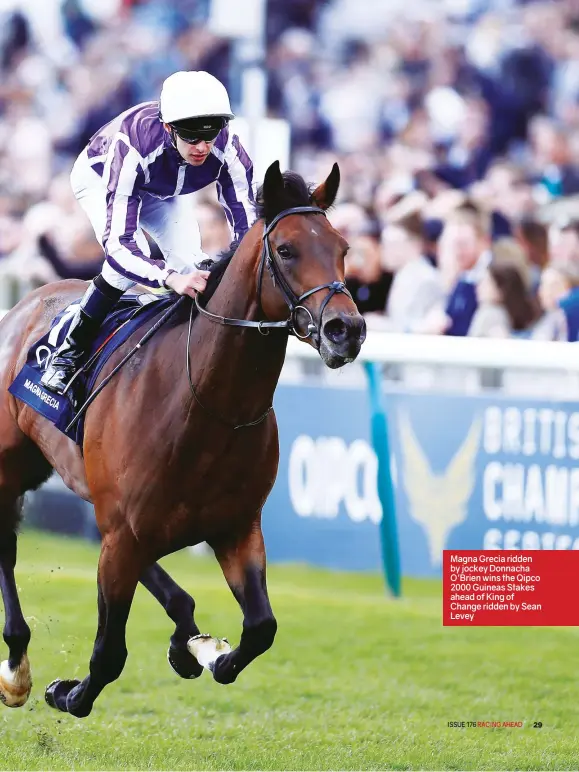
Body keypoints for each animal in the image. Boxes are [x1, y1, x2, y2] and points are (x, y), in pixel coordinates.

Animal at [0, 161, 364, 716]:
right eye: (287, 250)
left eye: (343, 248)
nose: (347, 329)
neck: (210, 405)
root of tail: (26, 302)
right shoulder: (124, 534)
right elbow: (109, 654)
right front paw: (67, 692)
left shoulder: (236, 527)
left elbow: (262, 628)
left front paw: (206, 653)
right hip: (12, 466)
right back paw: (17, 666)